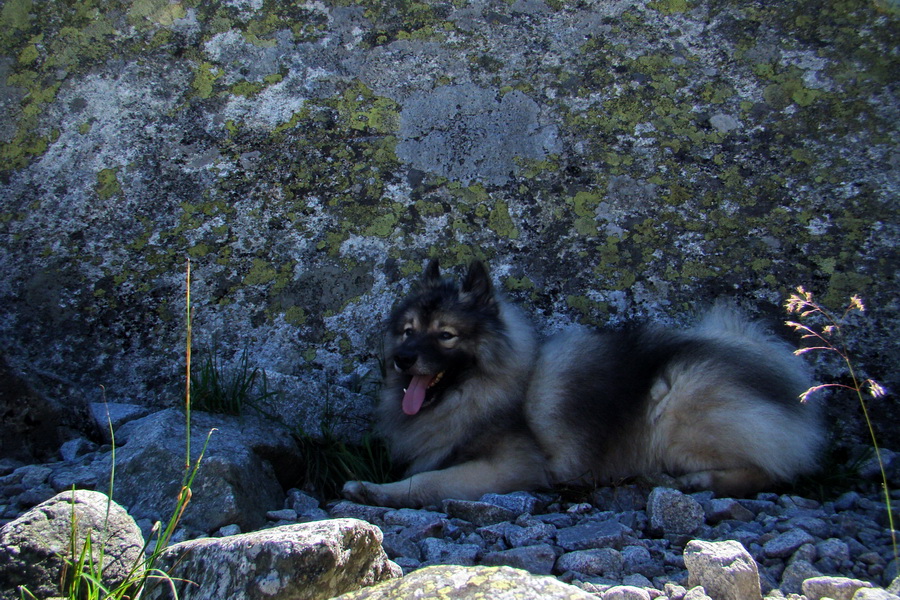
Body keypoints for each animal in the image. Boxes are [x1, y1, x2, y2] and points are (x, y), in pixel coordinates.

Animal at [342, 260, 824, 508]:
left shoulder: (512, 465)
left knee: (773, 471)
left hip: (678, 406)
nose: (403, 359)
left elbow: (428, 483)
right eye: (408, 331)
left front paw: (372, 490)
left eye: (445, 335)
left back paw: (696, 481)